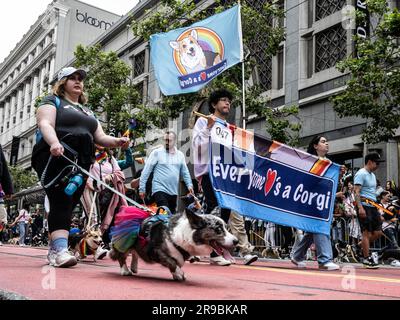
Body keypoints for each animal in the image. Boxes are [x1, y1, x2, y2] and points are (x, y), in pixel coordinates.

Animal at [108, 206, 238, 282]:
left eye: (227, 228)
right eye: (218, 230)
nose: (236, 241)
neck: (186, 235)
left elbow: (176, 261)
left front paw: (177, 274)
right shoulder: (157, 251)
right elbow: (172, 262)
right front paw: (179, 273)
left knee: (135, 253)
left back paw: (134, 267)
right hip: (124, 244)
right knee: (121, 256)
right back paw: (125, 271)